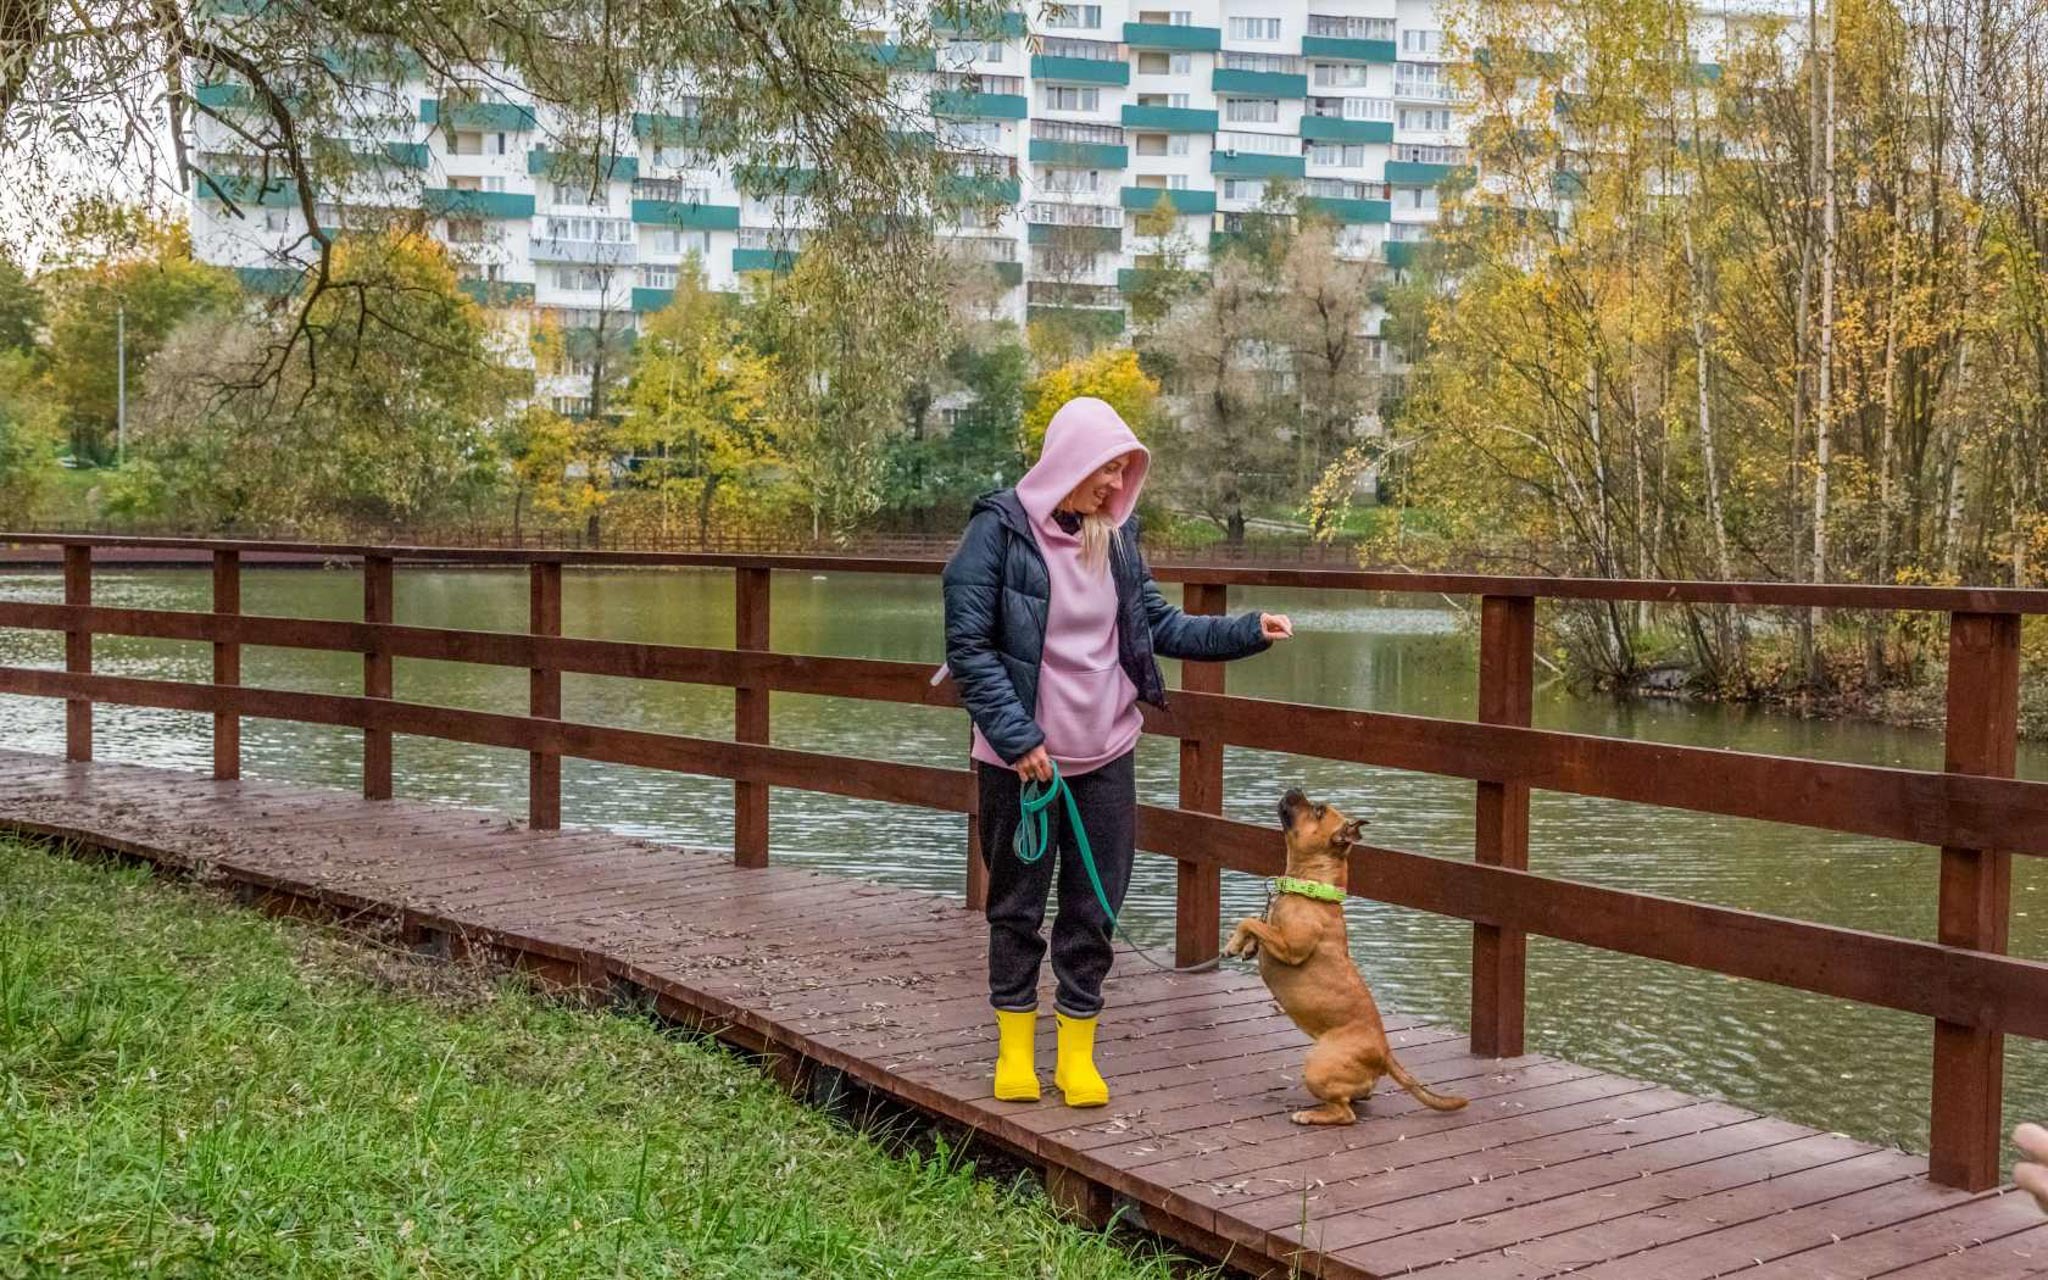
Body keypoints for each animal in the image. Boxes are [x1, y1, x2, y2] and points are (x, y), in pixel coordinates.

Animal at [1220, 782, 1466, 1122]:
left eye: (1318, 810)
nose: (1295, 786)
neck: (1311, 888)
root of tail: (1384, 1054)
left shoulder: (1291, 948)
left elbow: (1251, 921)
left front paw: (1236, 942)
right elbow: (1256, 921)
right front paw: (1243, 945)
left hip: (1317, 1063)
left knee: (1344, 1113)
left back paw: (1310, 1115)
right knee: (1354, 1098)